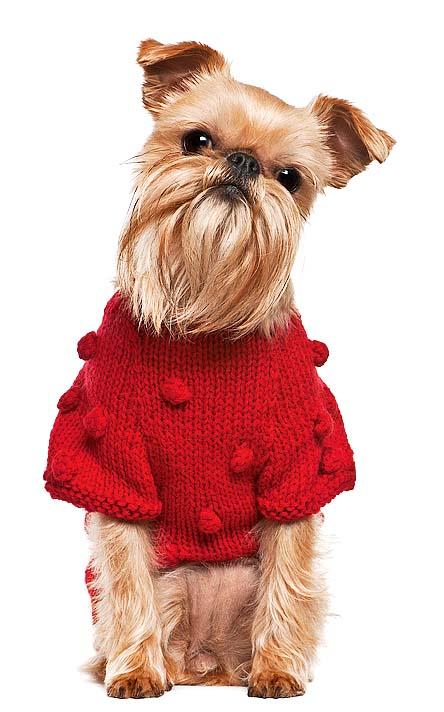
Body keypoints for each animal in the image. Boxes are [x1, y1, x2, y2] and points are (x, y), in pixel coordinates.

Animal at [44, 39, 394, 698]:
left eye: (290, 178)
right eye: (197, 140)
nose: (243, 161)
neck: (205, 307)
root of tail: (208, 663)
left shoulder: (295, 467)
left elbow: (287, 574)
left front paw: (278, 670)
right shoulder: (114, 465)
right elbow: (127, 579)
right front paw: (135, 671)